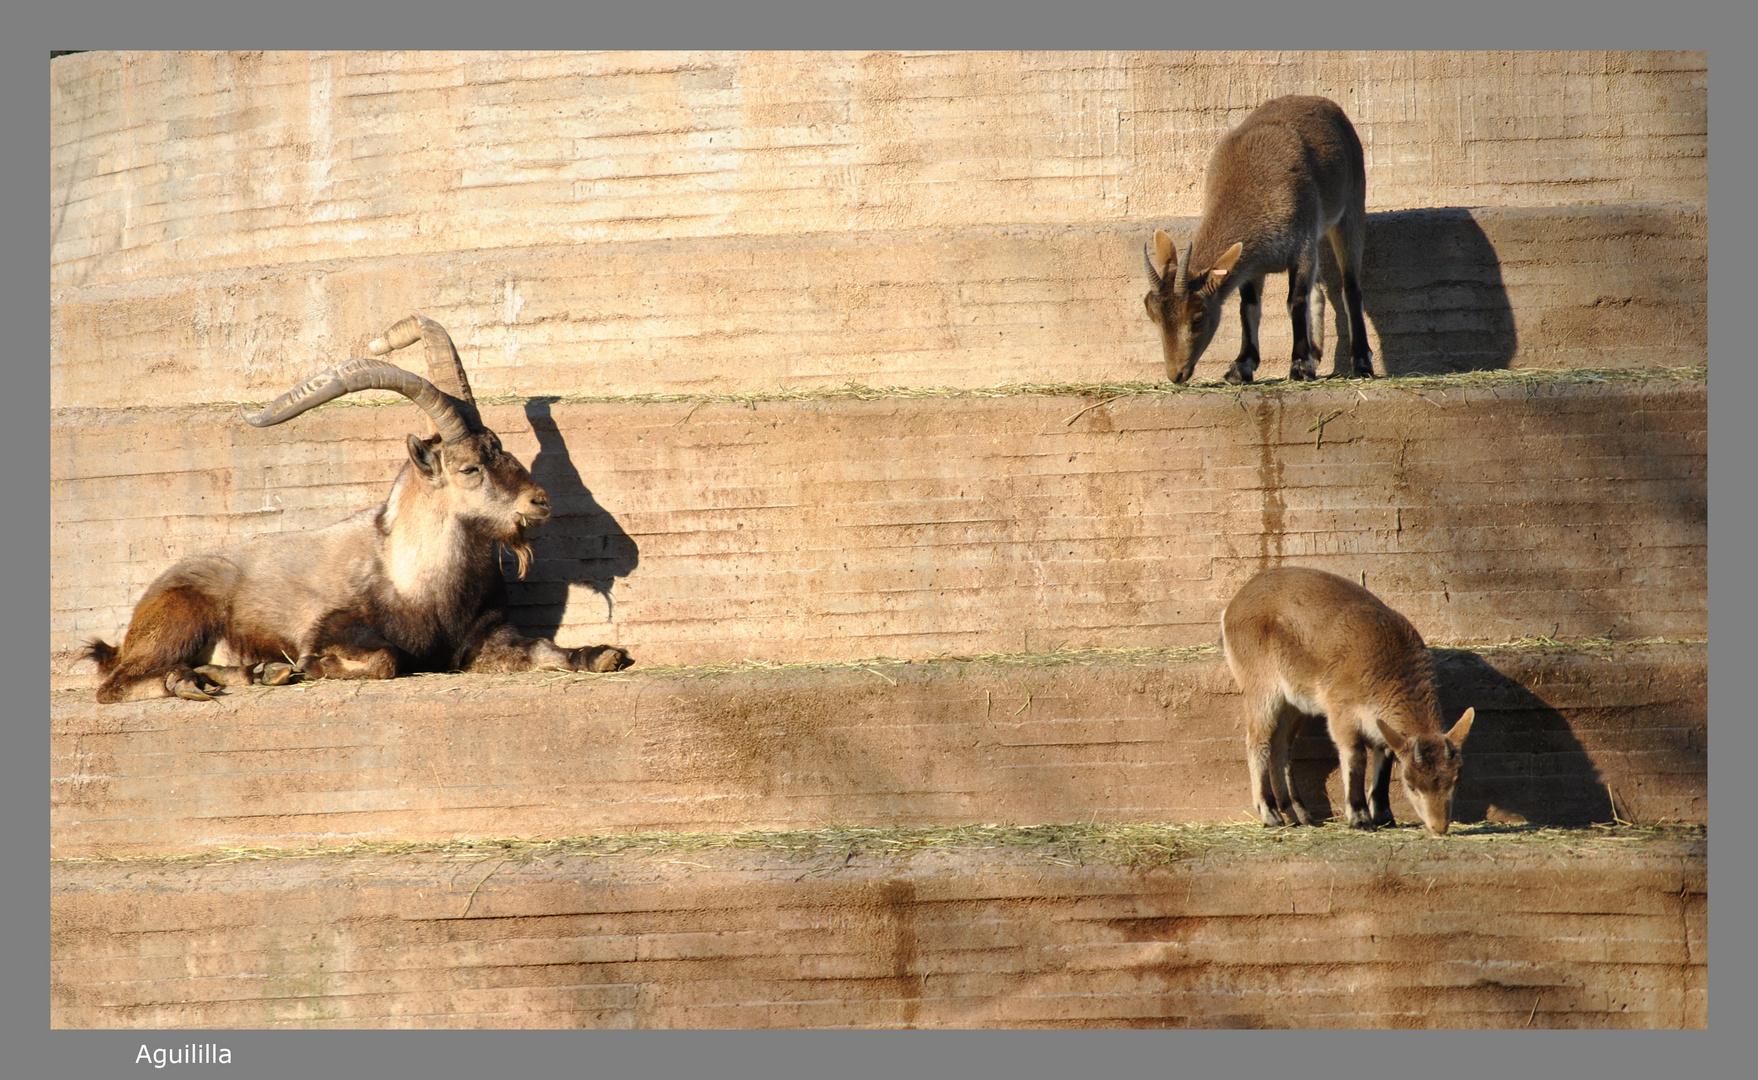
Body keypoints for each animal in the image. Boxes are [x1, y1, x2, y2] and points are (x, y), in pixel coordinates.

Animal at [83, 314, 632, 703]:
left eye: (502, 448)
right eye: (470, 467)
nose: (539, 502)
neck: (419, 581)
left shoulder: (484, 639)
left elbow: (544, 648)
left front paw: (602, 655)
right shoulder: (333, 624)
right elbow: (386, 658)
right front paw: (312, 666)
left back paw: (256, 672)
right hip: (183, 617)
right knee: (116, 685)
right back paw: (196, 682)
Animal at [1146, 95, 1378, 385]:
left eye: (1198, 316)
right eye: (1152, 313)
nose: (1176, 374)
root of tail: (1324, 103)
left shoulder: (1301, 246)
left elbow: (1295, 301)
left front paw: (1300, 366)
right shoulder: (1251, 264)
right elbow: (1249, 307)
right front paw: (1241, 367)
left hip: (1351, 209)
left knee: (1351, 288)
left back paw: (1362, 363)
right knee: (1319, 287)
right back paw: (1316, 349)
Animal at [1223, 566, 1483, 837]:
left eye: (1455, 781)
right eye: (1411, 785)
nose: (1439, 826)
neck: (1387, 665)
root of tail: (1235, 604)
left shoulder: (1379, 724)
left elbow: (1384, 760)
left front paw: (1384, 816)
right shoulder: (1342, 712)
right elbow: (1356, 757)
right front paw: (1360, 818)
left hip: (1294, 703)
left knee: (1282, 744)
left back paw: (1299, 814)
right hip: (1261, 686)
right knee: (1258, 741)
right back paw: (1270, 813)